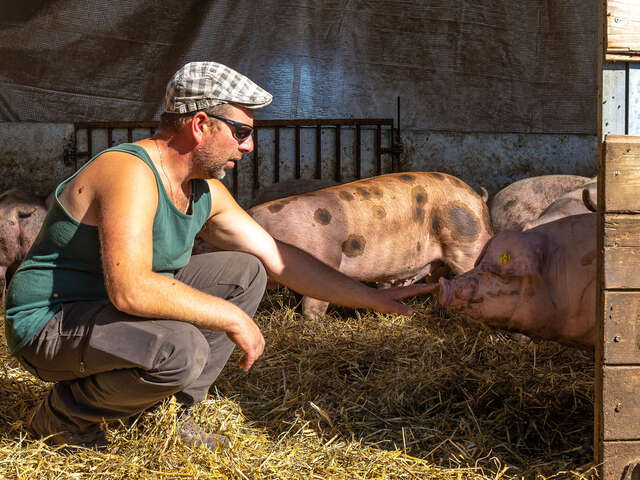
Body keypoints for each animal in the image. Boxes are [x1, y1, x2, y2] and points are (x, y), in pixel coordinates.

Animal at [248, 172, 492, 318]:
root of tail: (477, 197)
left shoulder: (324, 261)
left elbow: (314, 304)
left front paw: (311, 324)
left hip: (469, 244)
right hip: (440, 261)